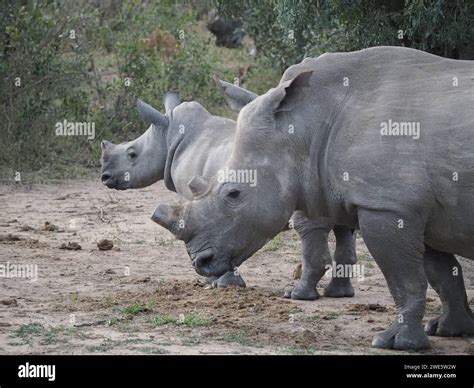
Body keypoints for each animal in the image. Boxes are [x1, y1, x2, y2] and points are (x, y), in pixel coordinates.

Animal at [103, 92, 356, 298]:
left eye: (132, 154)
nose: (105, 176)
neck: (169, 137)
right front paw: (216, 280)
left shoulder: (201, 200)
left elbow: (212, 234)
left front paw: (221, 283)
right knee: (344, 227)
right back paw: (338, 293)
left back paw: (299, 295)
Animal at [151, 47, 474, 350]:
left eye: (233, 194)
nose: (200, 261)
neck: (305, 127)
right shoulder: (414, 207)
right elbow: (443, 273)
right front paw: (451, 329)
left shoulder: (387, 206)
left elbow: (403, 278)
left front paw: (396, 343)